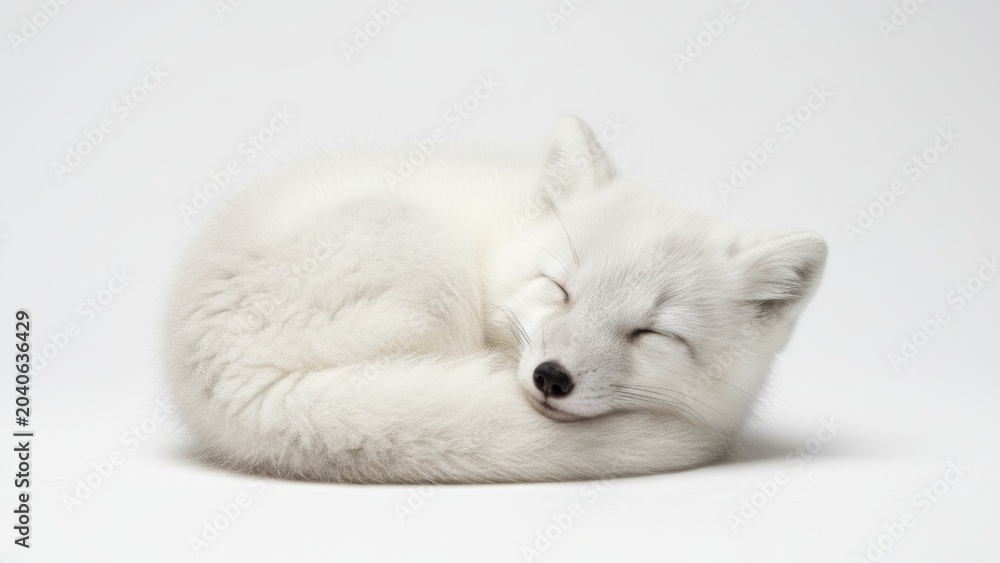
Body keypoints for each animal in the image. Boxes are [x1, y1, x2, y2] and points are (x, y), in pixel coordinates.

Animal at [163, 116, 827, 484]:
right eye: (559, 288)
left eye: (653, 333)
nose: (551, 377)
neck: (499, 242)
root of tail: (233, 376)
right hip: (427, 266)